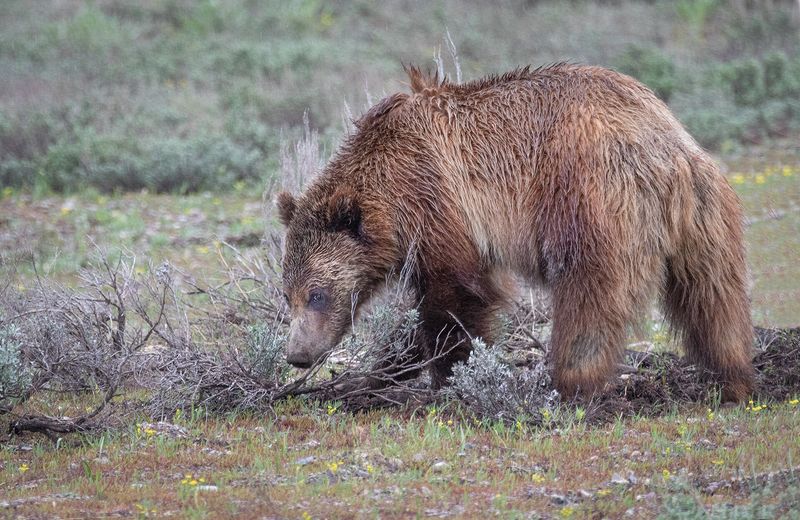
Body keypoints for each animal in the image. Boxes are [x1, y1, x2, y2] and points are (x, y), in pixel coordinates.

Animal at [276, 63, 756, 400]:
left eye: (317, 294)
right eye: (288, 294)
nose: (297, 354)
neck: (388, 196)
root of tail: (664, 147)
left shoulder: (437, 201)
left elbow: (455, 298)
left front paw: (450, 376)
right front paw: (379, 373)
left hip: (587, 197)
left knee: (589, 295)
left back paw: (570, 382)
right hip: (706, 219)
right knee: (714, 296)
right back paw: (734, 377)